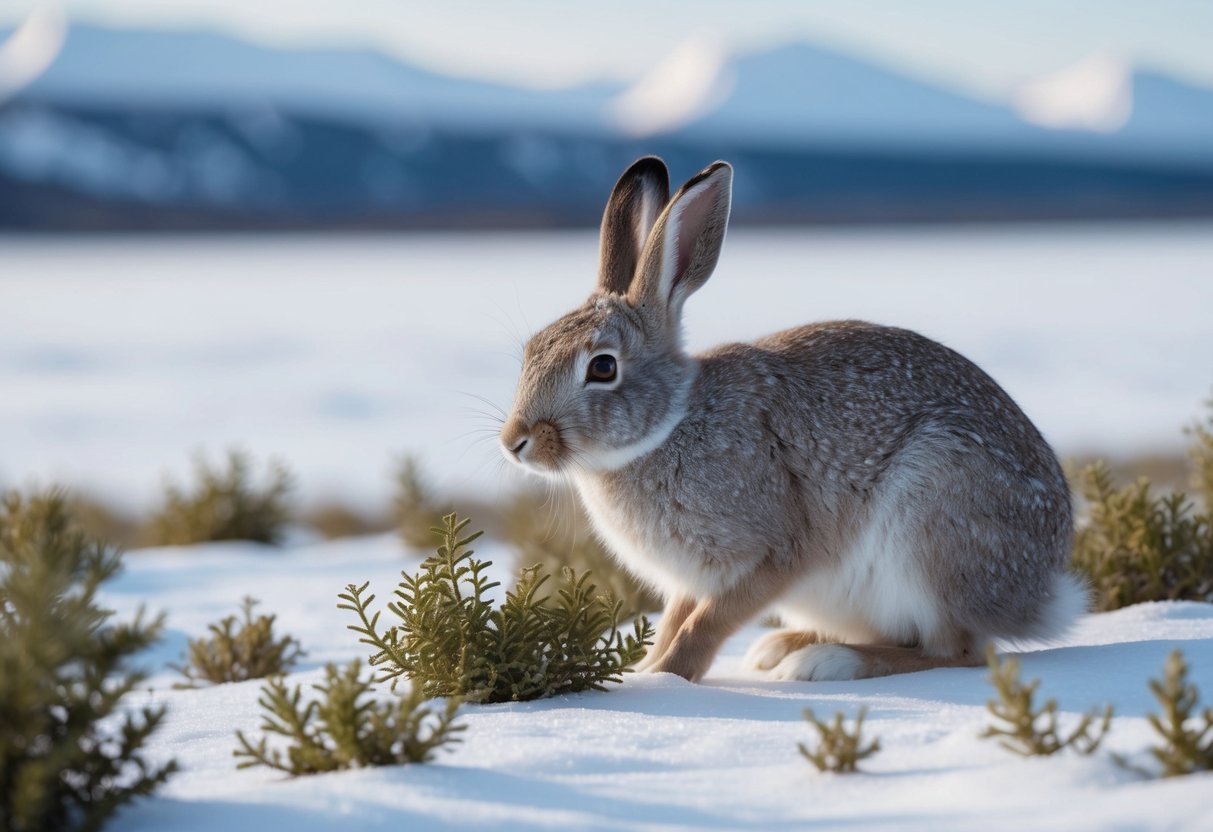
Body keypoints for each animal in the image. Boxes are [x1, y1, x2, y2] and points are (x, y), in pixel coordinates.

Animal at [499, 156, 1082, 683]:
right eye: (530, 351)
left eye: (602, 368)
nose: (515, 441)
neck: (668, 426)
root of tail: (1044, 590)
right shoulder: (692, 579)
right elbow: (674, 622)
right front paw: (646, 670)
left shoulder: (772, 555)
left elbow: (704, 626)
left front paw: (664, 679)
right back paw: (782, 647)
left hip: (933, 517)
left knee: (954, 650)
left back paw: (827, 661)